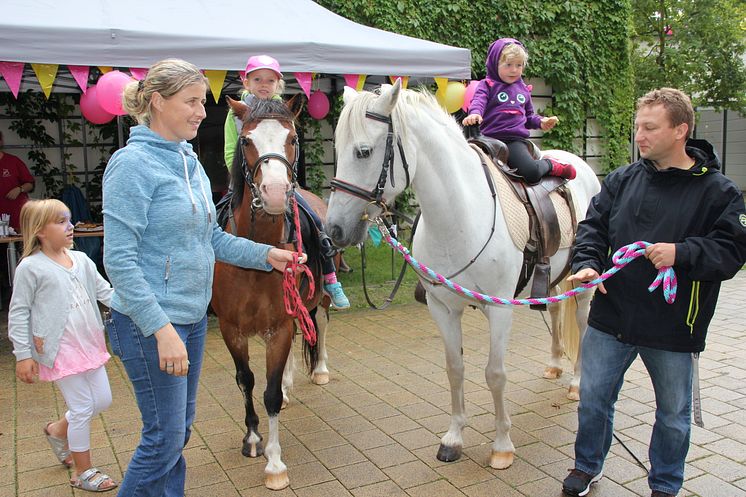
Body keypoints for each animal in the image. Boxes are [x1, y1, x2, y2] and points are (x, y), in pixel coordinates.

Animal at [212, 96, 332, 488]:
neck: (257, 256)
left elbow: (269, 393)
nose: (277, 193)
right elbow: (246, 381)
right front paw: (252, 438)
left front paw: (275, 463)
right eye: (246, 140)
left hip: (319, 298)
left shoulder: (278, 327)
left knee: (319, 324)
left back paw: (319, 369)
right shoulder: (231, 329)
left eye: (292, 138)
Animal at [326, 79, 600, 466]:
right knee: (558, 311)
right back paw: (553, 364)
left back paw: (577, 384)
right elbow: (454, 369)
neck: (460, 215)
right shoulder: (442, 308)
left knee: (583, 325)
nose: (333, 230)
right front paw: (454, 439)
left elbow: (495, 374)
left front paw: (502, 446)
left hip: (584, 283)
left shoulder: (499, 310)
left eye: (364, 151)